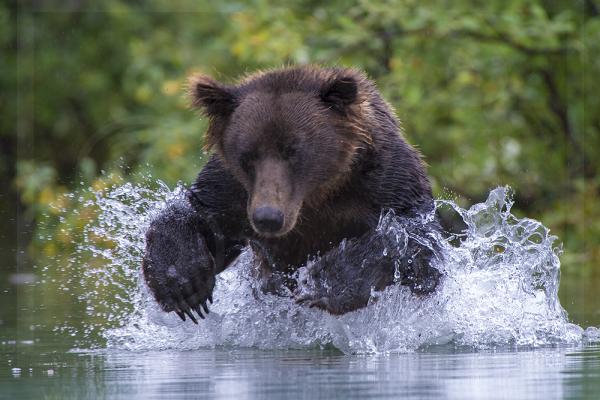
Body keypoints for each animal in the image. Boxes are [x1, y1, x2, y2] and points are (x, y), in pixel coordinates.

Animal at [141, 65, 440, 322]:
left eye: (293, 151)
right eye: (248, 155)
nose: (267, 217)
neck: (320, 193)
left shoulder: (385, 181)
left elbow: (416, 244)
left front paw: (322, 282)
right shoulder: (233, 192)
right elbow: (199, 215)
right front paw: (183, 283)